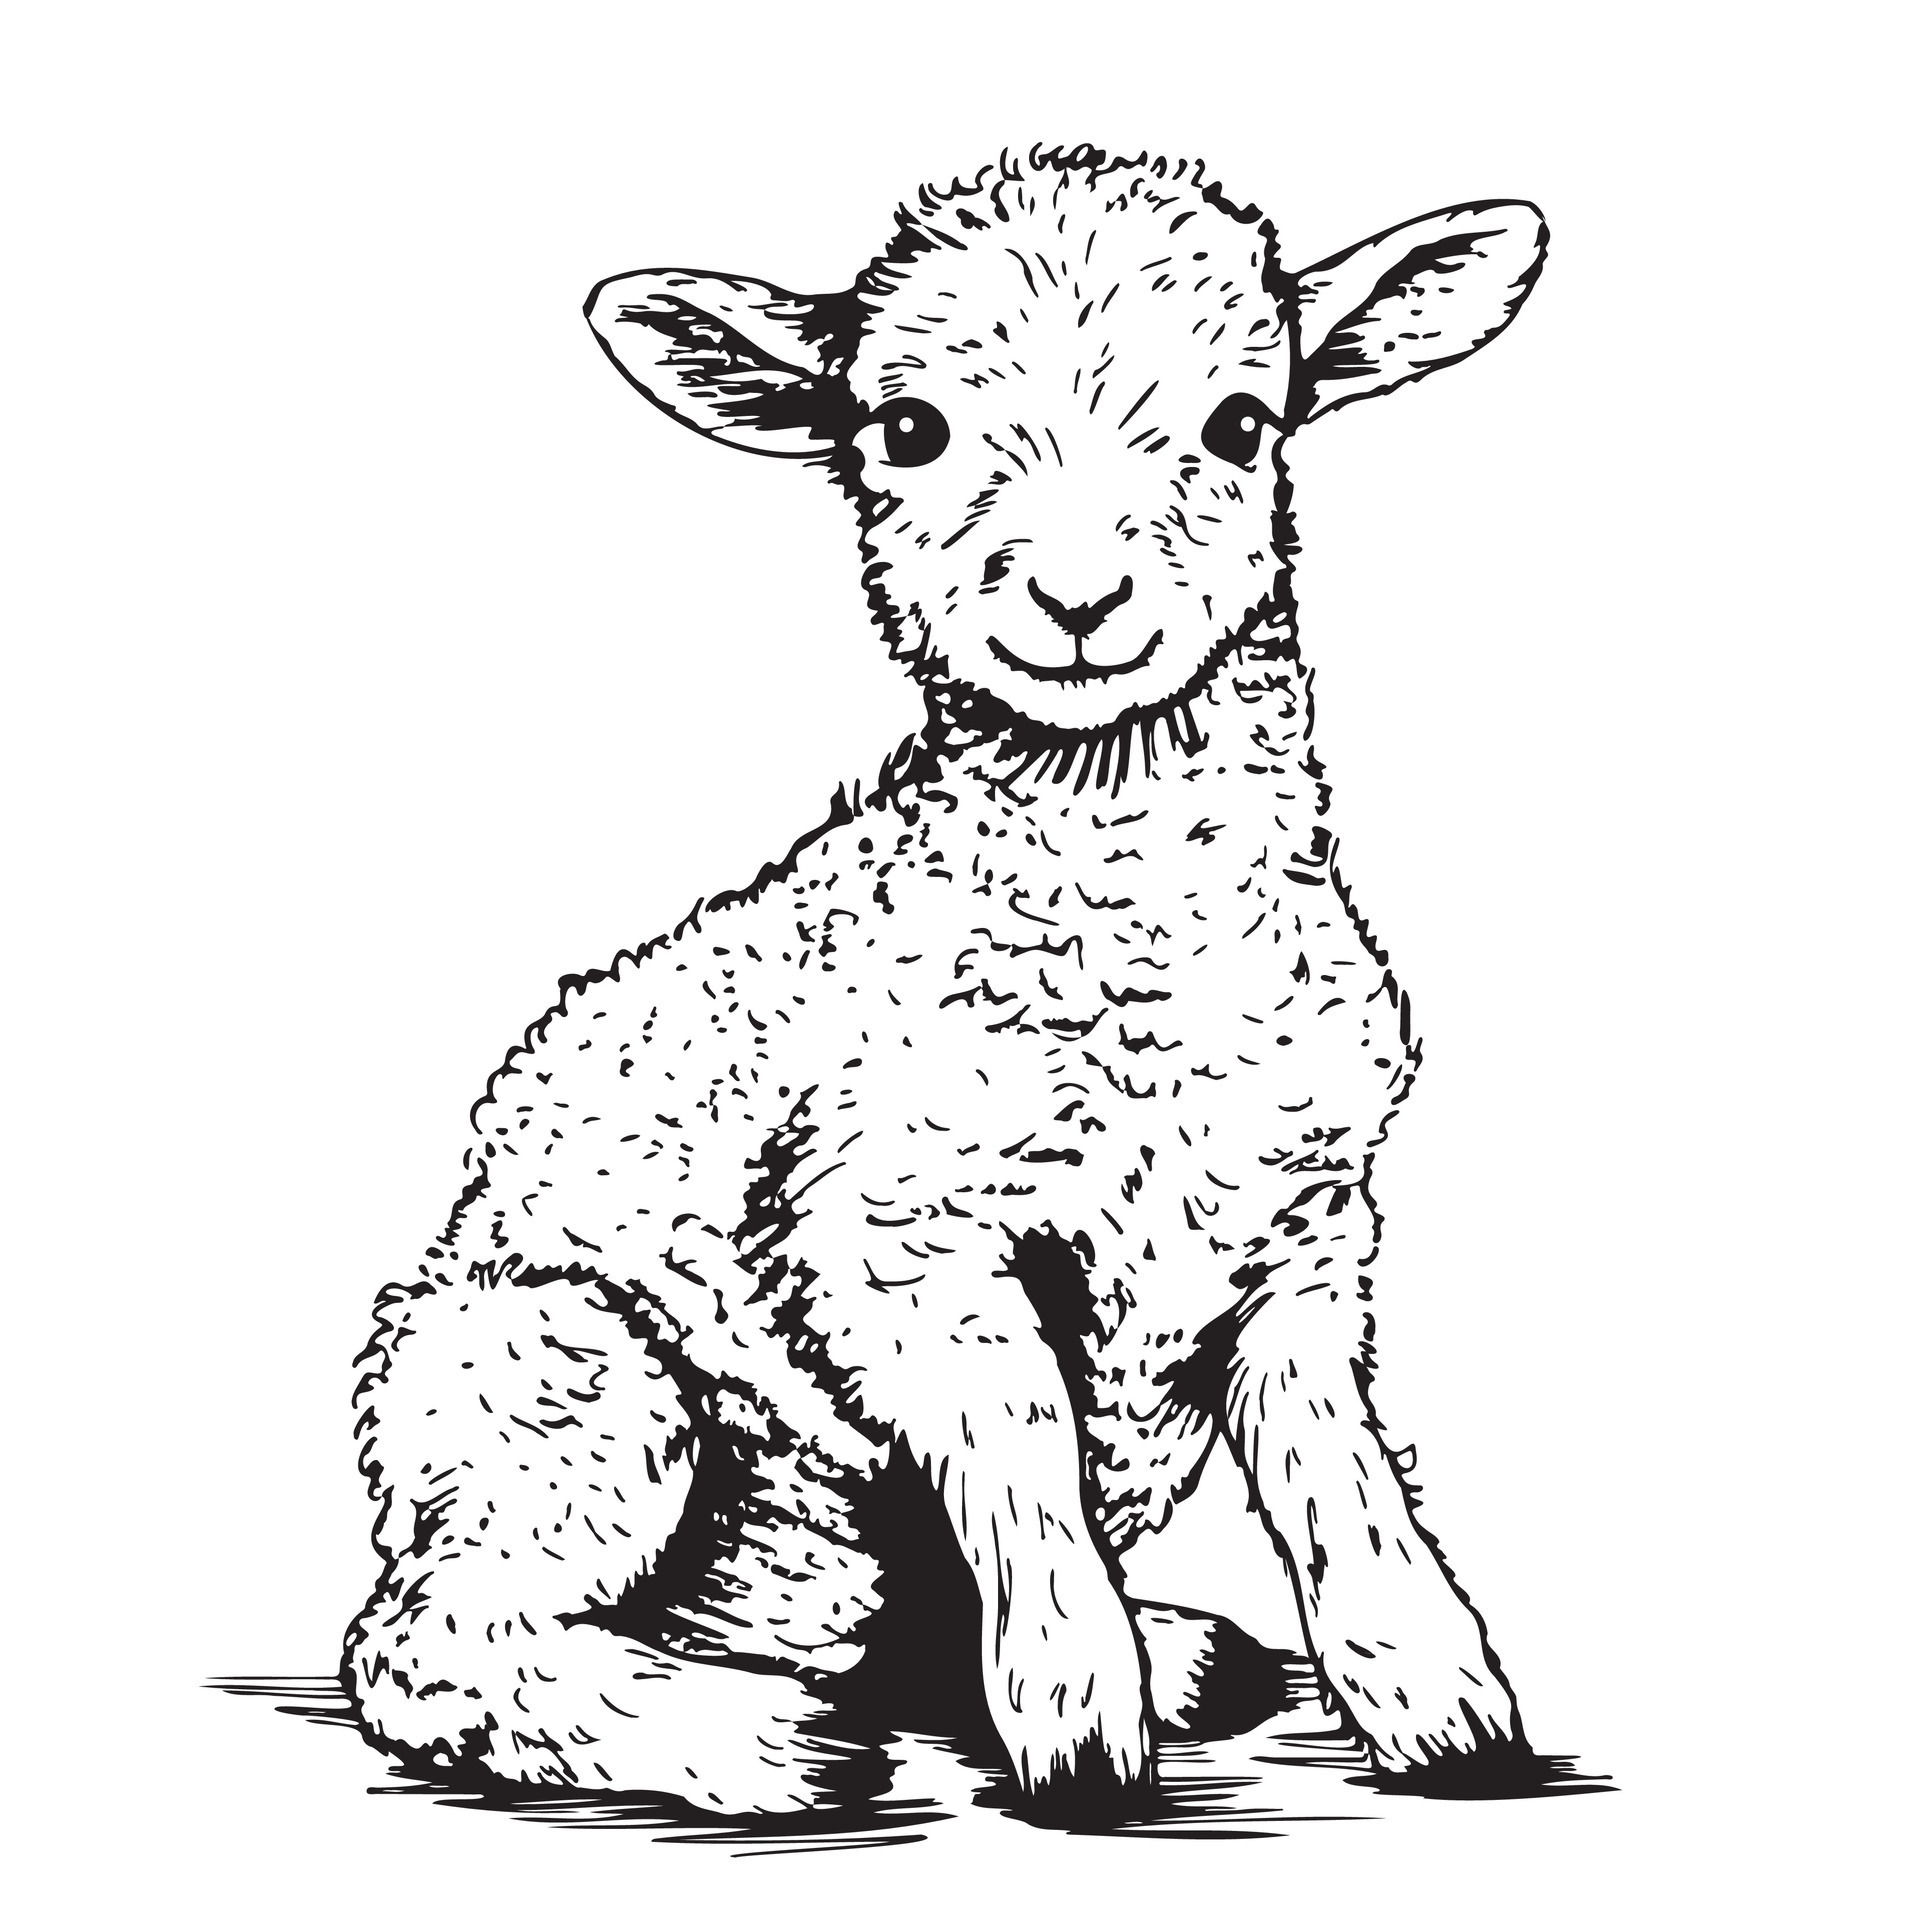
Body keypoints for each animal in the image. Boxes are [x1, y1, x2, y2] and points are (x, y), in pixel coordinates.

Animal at [343, 145, 1549, 1823]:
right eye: (907, 430)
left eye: (1245, 424)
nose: (1080, 598)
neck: (1142, 973)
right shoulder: (895, 1238)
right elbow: (1028, 1468)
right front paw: (1080, 1741)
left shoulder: (1301, 1239)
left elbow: (1341, 1481)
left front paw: (1445, 1713)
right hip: (563, 1376)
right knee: (432, 1647)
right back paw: (761, 1746)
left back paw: (1173, 1656)